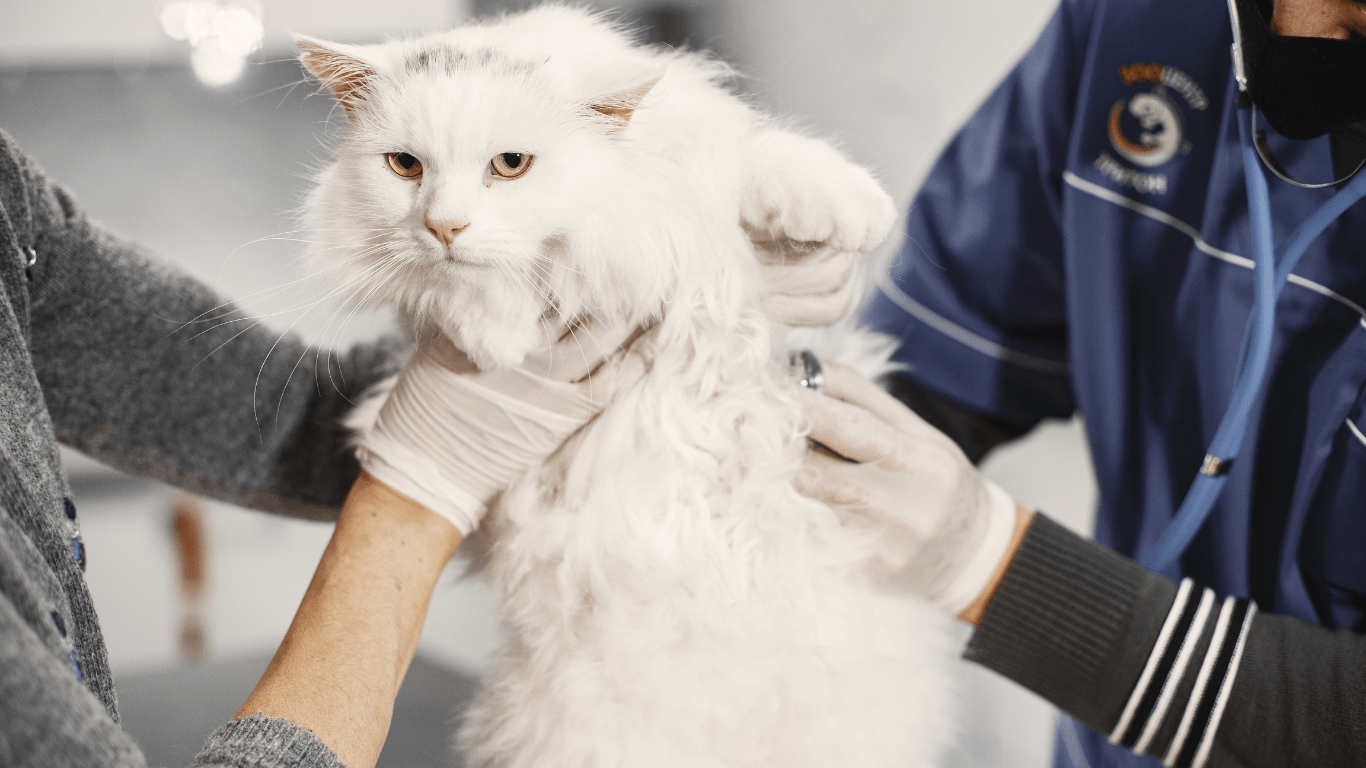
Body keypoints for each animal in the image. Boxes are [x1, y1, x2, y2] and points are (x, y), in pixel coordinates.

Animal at [299, 7, 956, 765]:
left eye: (510, 165)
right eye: (405, 166)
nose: (444, 226)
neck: (616, 207)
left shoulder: (695, 173)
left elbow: (761, 162)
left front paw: (848, 210)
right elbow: (460, 290)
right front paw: (499, 336)